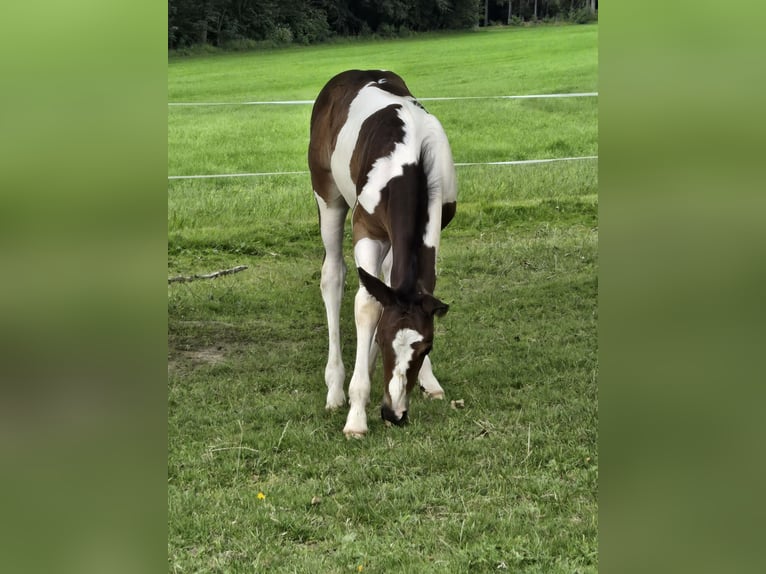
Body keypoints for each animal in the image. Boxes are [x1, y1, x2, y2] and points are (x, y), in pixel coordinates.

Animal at [308, 71, 460, 440]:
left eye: (427, 347)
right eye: (383, 337)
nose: (394, 413)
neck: (414, 160)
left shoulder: (437, 224)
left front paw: (426, 380)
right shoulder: (367, 230)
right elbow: (366, 303)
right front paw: (356, 415)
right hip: (327, 197)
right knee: (333, 276)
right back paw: (335, 388)